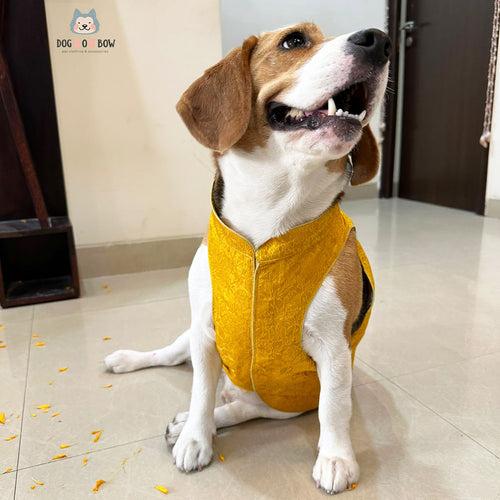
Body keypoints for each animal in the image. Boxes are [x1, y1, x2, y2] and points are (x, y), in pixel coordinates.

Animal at [106, 22, 390, 492]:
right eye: (295, 40)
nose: (379, 40)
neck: (269, 222)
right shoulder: (206, 330)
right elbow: (200, 392)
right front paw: (195, 440)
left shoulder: (333, 349)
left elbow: (334, 408)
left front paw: (335, 459)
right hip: (189, 337)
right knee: (171, 359)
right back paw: (133, 366)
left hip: (282, 404)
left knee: (242, 408)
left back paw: (203, 418)